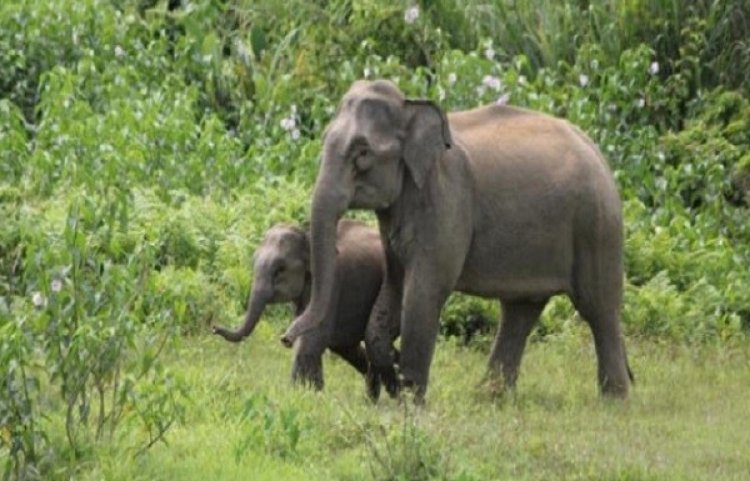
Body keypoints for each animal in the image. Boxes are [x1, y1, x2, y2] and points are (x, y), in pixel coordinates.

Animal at [212, 219, 388, 396]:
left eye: (280, 270)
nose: (214, 328)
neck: (306, 233)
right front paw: (313, 393)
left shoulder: (332, 283)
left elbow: (311, 339)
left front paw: (299, 395)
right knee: (347, 348)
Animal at [282, 79, 636, 400]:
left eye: (363, 153)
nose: (285, 338)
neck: (410, 107)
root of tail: (598, 152)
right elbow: (394, 287)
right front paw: (393, 382)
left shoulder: (446, 201)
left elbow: (424, 292)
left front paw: (409, 402)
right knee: (521, 310)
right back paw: (491, 396)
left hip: (597, 226)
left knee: (598, 307)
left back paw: (614, 400)